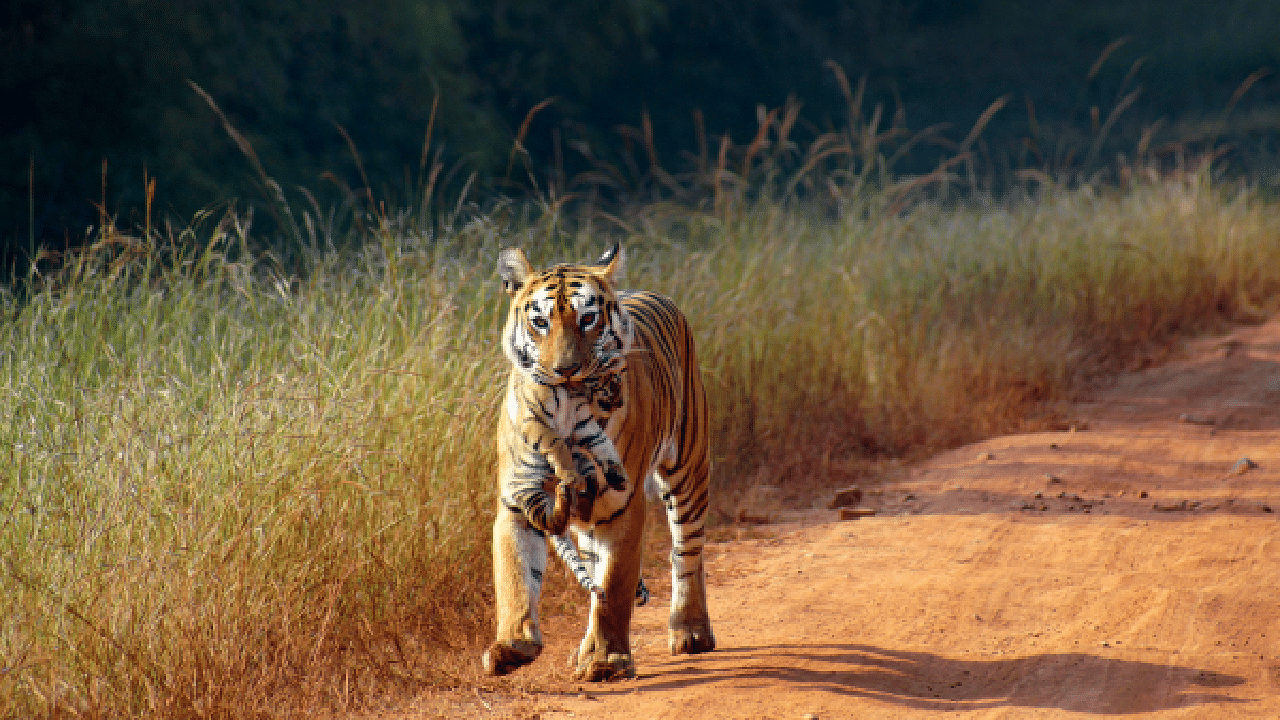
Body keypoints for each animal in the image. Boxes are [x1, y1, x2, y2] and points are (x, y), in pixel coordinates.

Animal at [481, 240, 716, 676]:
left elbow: (615, 585)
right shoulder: (517, 499)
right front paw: (512, 645)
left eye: (588, 319)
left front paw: (607, 659)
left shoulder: (622, 504)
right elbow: (516, 577)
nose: (565, 370)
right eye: (540, 322)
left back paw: (690, 630)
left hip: (687, 468)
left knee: (687, 552)